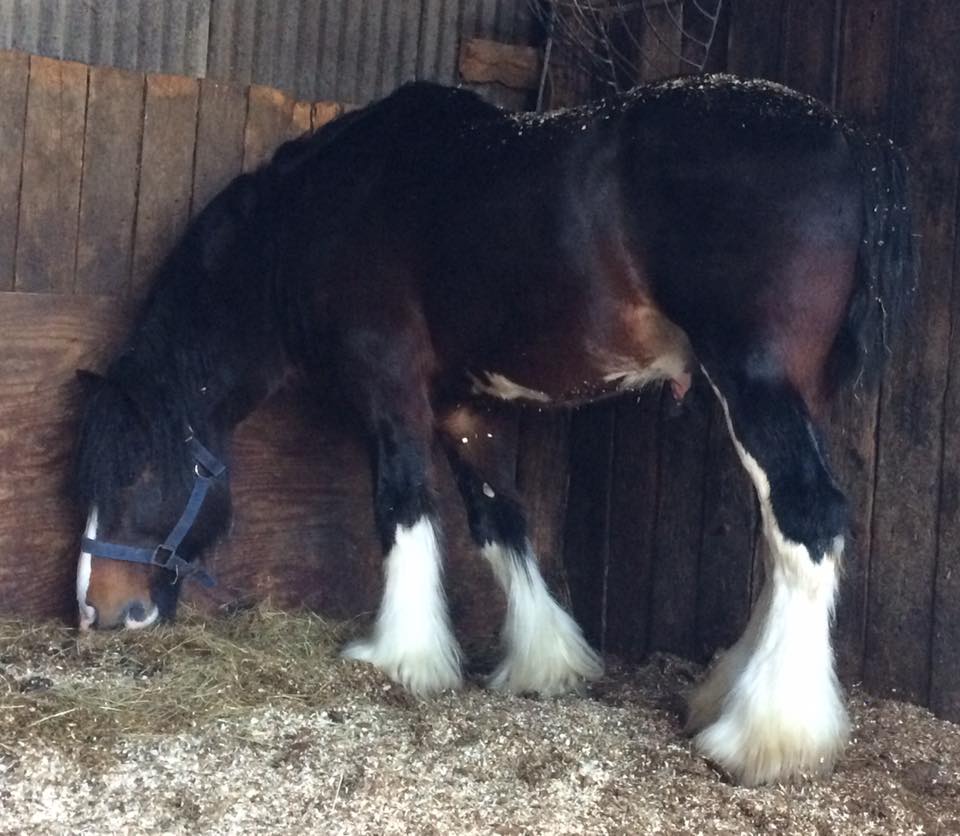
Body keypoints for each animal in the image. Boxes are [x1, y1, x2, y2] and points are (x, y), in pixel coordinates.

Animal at [73, 75, 916, 788]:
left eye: (139, 472)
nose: (97, 613)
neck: (315, 220)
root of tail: (847, 142)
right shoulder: (460, 409)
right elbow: (498, 522)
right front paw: (546, 664)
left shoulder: (390, 393)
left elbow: (403, 510)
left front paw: (400, 657)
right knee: (783, 536)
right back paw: (729, 695)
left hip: (753, 382)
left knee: (808, 519)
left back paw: (765, 736)